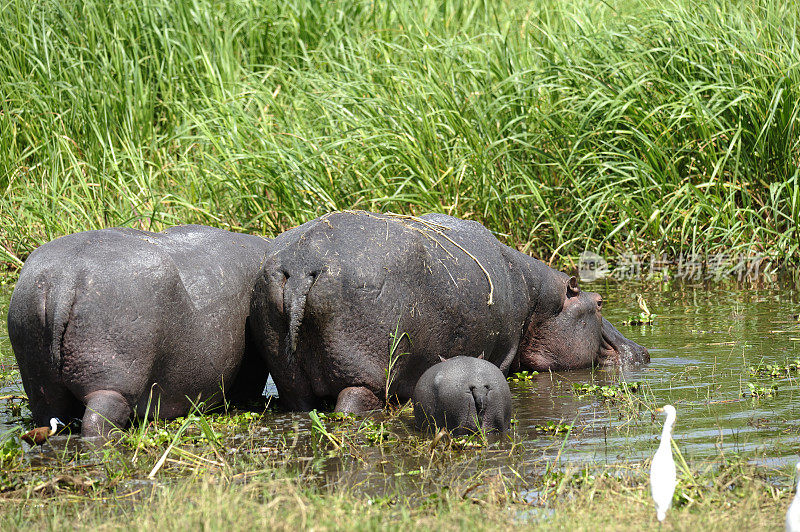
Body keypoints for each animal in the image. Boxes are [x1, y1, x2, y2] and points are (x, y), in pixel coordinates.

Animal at [252, 211, 648, 412]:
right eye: (599, 303)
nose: (643, 351)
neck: (540, 301)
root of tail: (302, 265)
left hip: (289, 377)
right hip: (361, 376)